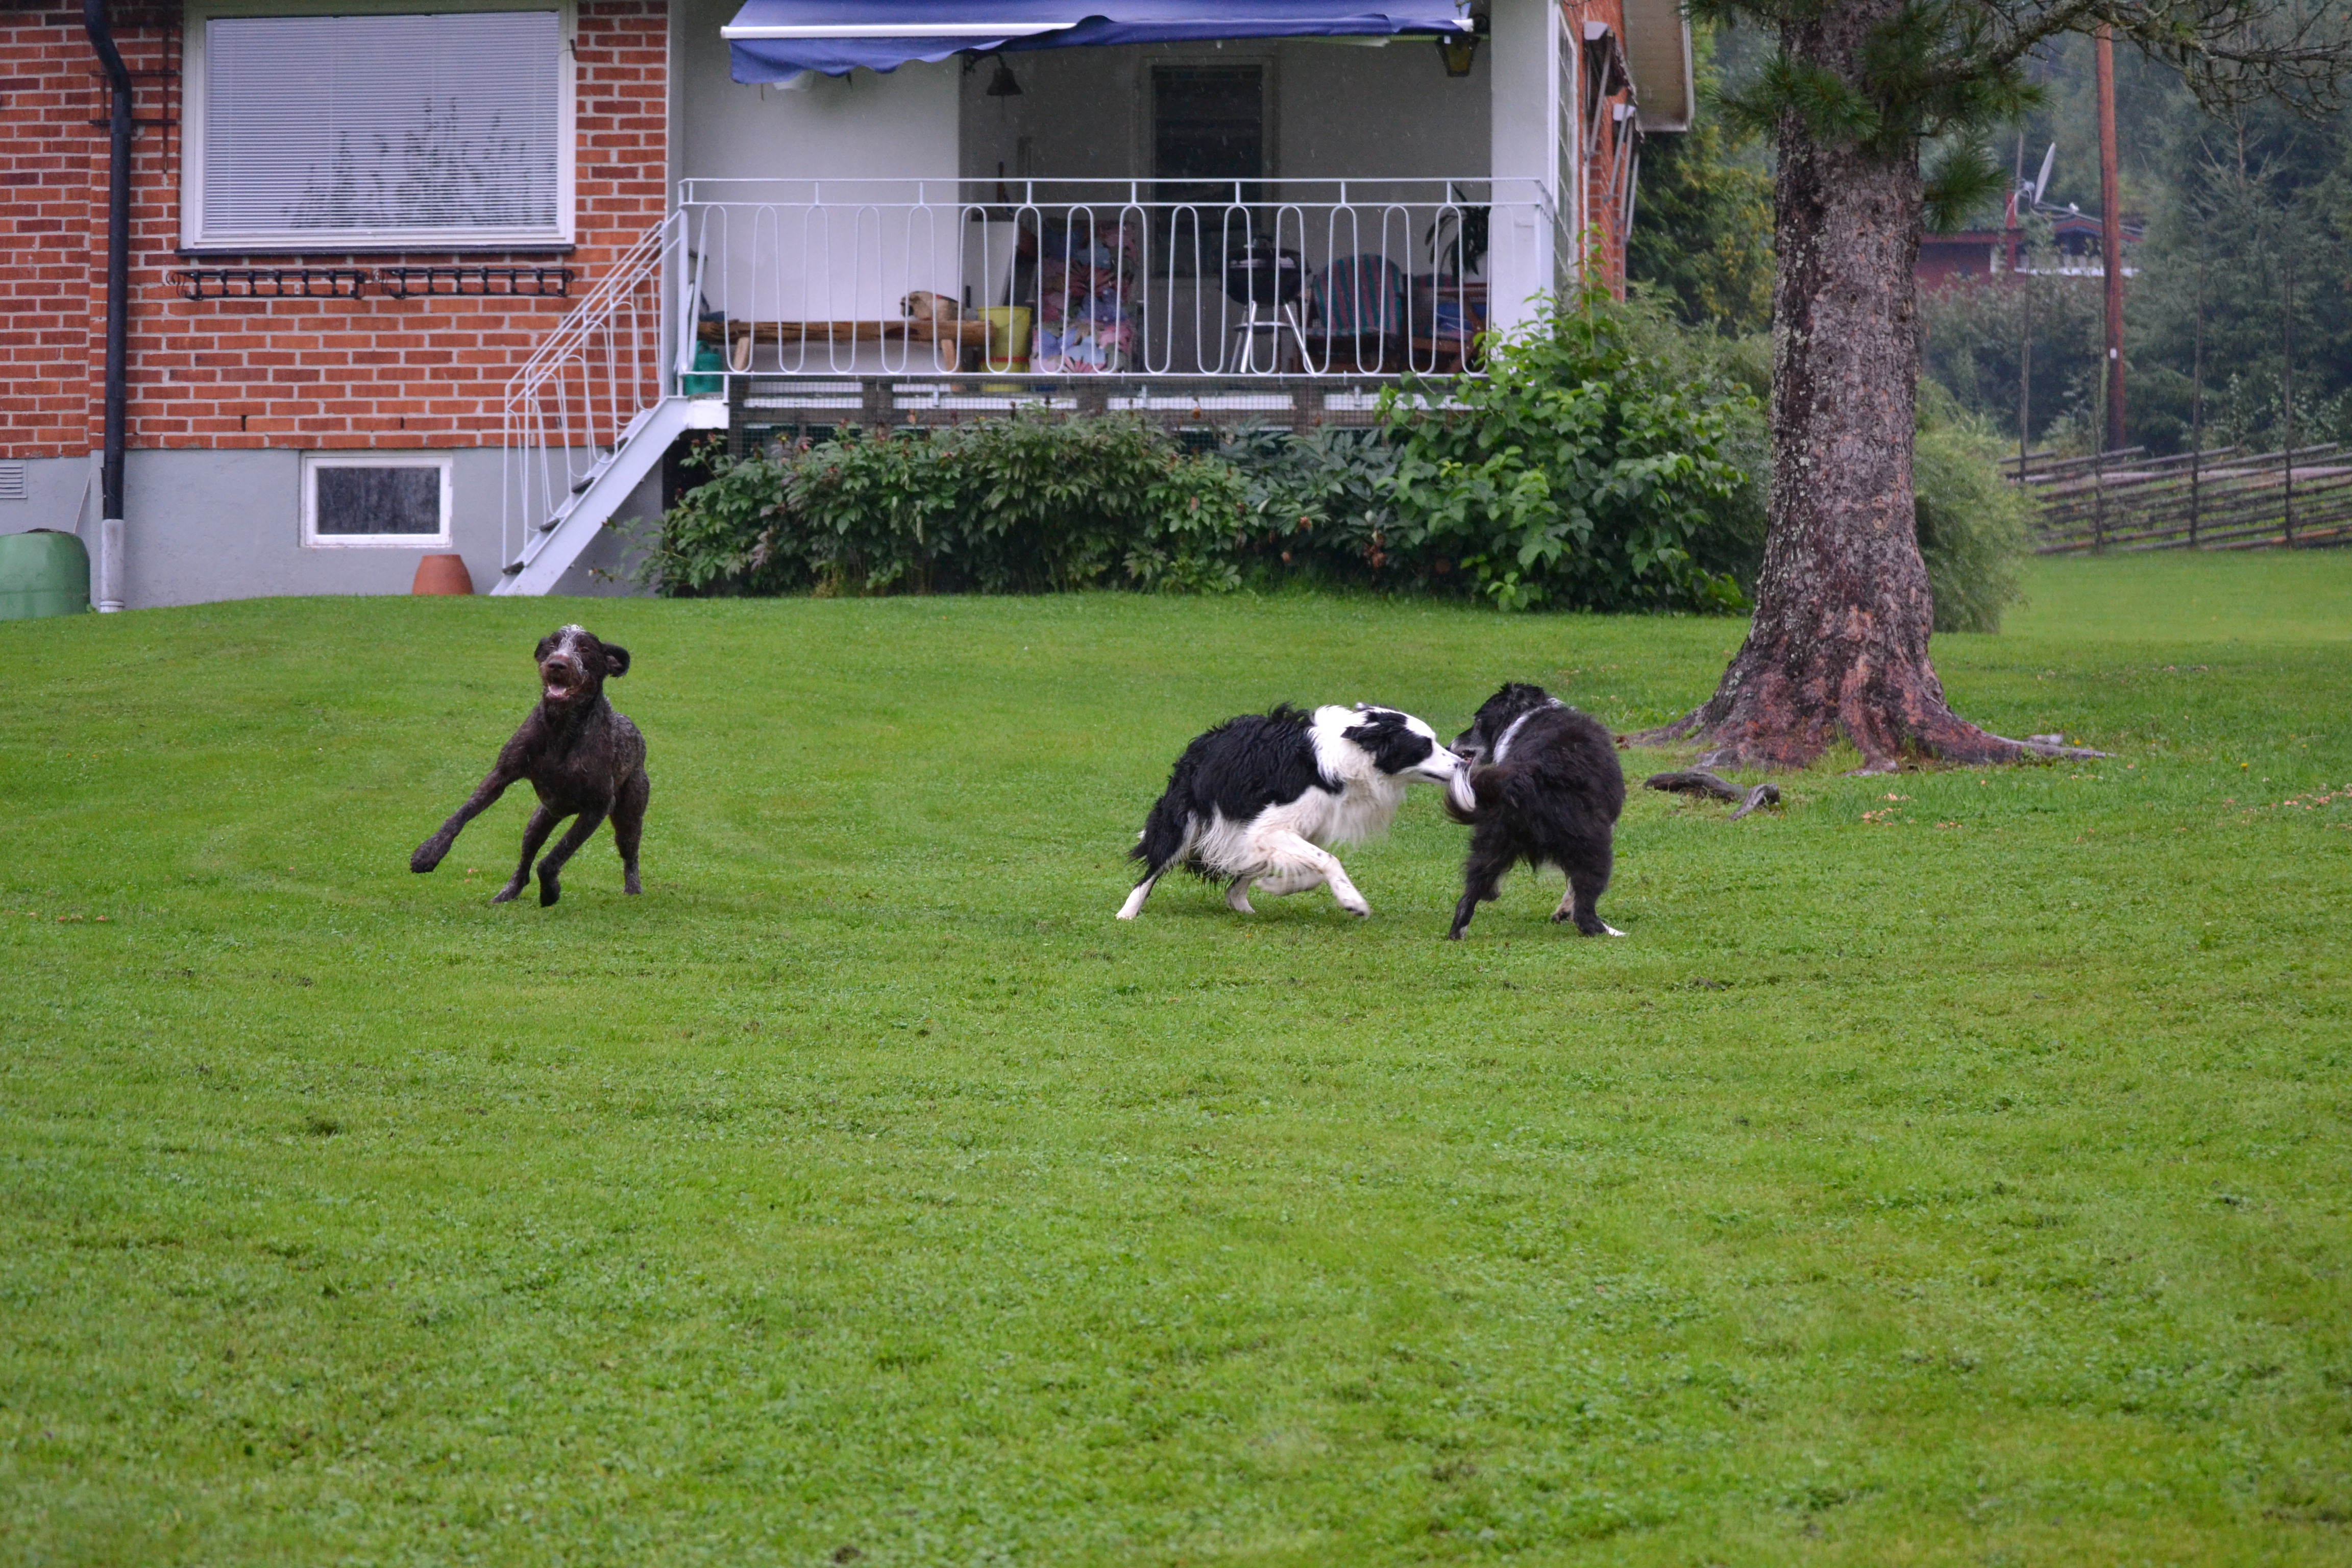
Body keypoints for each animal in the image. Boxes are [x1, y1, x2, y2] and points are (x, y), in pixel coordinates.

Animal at [410, 625, 649, 907]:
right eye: (553, 645)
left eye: (584, 649)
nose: (557, 664)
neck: (561, 729)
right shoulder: (500, 776)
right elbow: (460, 815)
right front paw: (429, 852)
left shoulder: (597, 807)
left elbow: (553, 858)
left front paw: (550, 891)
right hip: (540, 821)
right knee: (525, 863)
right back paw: (507, 893)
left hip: (628, 817)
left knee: (630, 856)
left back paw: (633, 890)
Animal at [1117, 704, 1470, 920]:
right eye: (1424, 746)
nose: (1463, 763)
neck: (1349, 757)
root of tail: (1204, 741)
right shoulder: (1271, 827)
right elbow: (1329, 860)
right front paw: (1353, 902)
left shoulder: (1305, 827)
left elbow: (1312, 868)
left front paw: (1276, 886)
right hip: (1188, 821)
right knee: (1153, 868)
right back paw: (1127, 913)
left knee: (1239, 881)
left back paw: (1242, 904)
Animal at [1443, 682, 1624, 939]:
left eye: (1478, 721)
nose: (1449, 746)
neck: (1529, 713)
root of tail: (1527, 775)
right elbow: (1572, 891)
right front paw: (1563, 912)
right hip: (1595, 846)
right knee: (1585, 910)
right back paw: (1610, 932)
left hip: (1491, 842)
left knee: (1468, 898)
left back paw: (1458, 933)